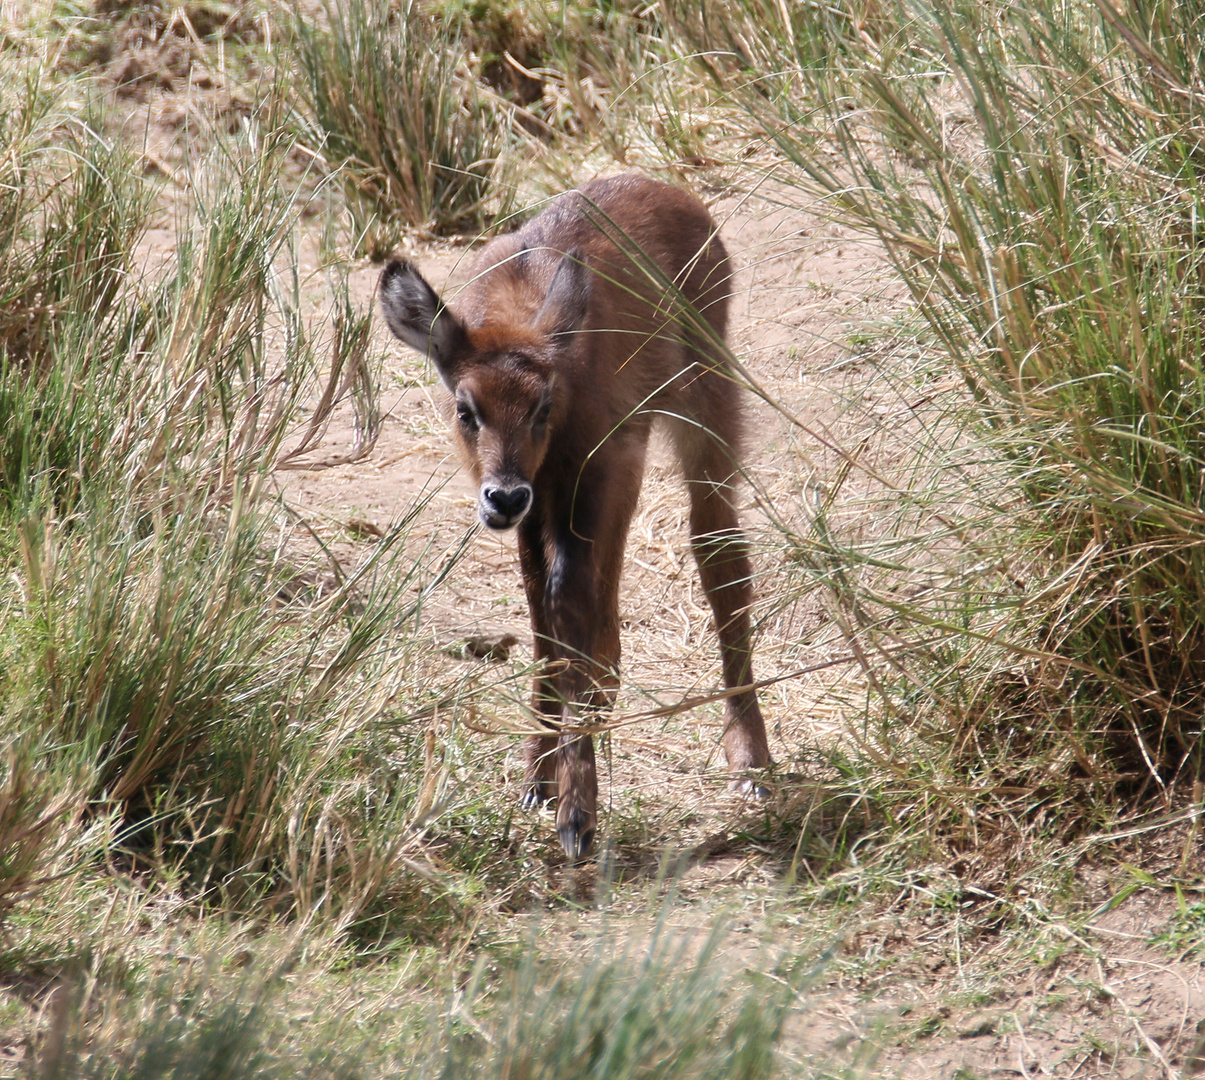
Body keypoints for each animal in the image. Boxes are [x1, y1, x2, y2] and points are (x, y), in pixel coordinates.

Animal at [378, 173, 771, 858]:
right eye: (465, 408)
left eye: (541, 406)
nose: (503, 496)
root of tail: (662, 186)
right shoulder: (547, 496)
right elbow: (543, 608)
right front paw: (539, 775)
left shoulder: (603, 461)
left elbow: (568, 599)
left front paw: (576, 809)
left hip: (704, 400)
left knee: (718, 550)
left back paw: (749, 761)